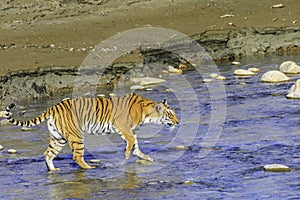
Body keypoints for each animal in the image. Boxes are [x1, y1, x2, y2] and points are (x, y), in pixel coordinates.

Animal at [4, 93, 178, 171]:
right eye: (171, 113)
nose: (177, 122)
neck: (146, 112)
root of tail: (53, 107)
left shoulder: (131, 130)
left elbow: (136, 145)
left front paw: (145, 157)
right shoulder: (123, 127)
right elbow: (130, 142)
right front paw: (127, 156)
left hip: (58, 138)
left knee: (48, 154)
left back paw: (53, 171)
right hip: (76, 136)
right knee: (76, 156)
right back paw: (90, 168)